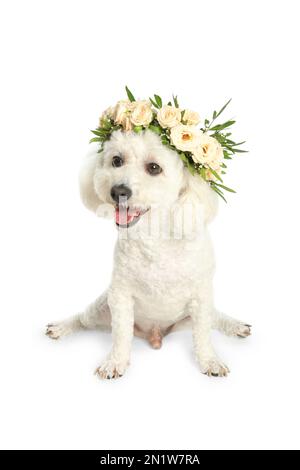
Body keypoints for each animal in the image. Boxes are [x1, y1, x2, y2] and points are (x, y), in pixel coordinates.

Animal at [45, 129, 250, 378]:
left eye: (154, 168)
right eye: (116, 161)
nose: (118, 191)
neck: (156, 238)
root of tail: (155, 333)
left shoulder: (201, 297)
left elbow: (203, 335)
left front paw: (210, 360)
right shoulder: (120, 296)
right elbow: (121, 334)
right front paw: (115, 362)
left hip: (189, 316)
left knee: (215, 318)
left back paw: (236, 326)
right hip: (103, 307)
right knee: (83, 320)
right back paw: (61, 327)